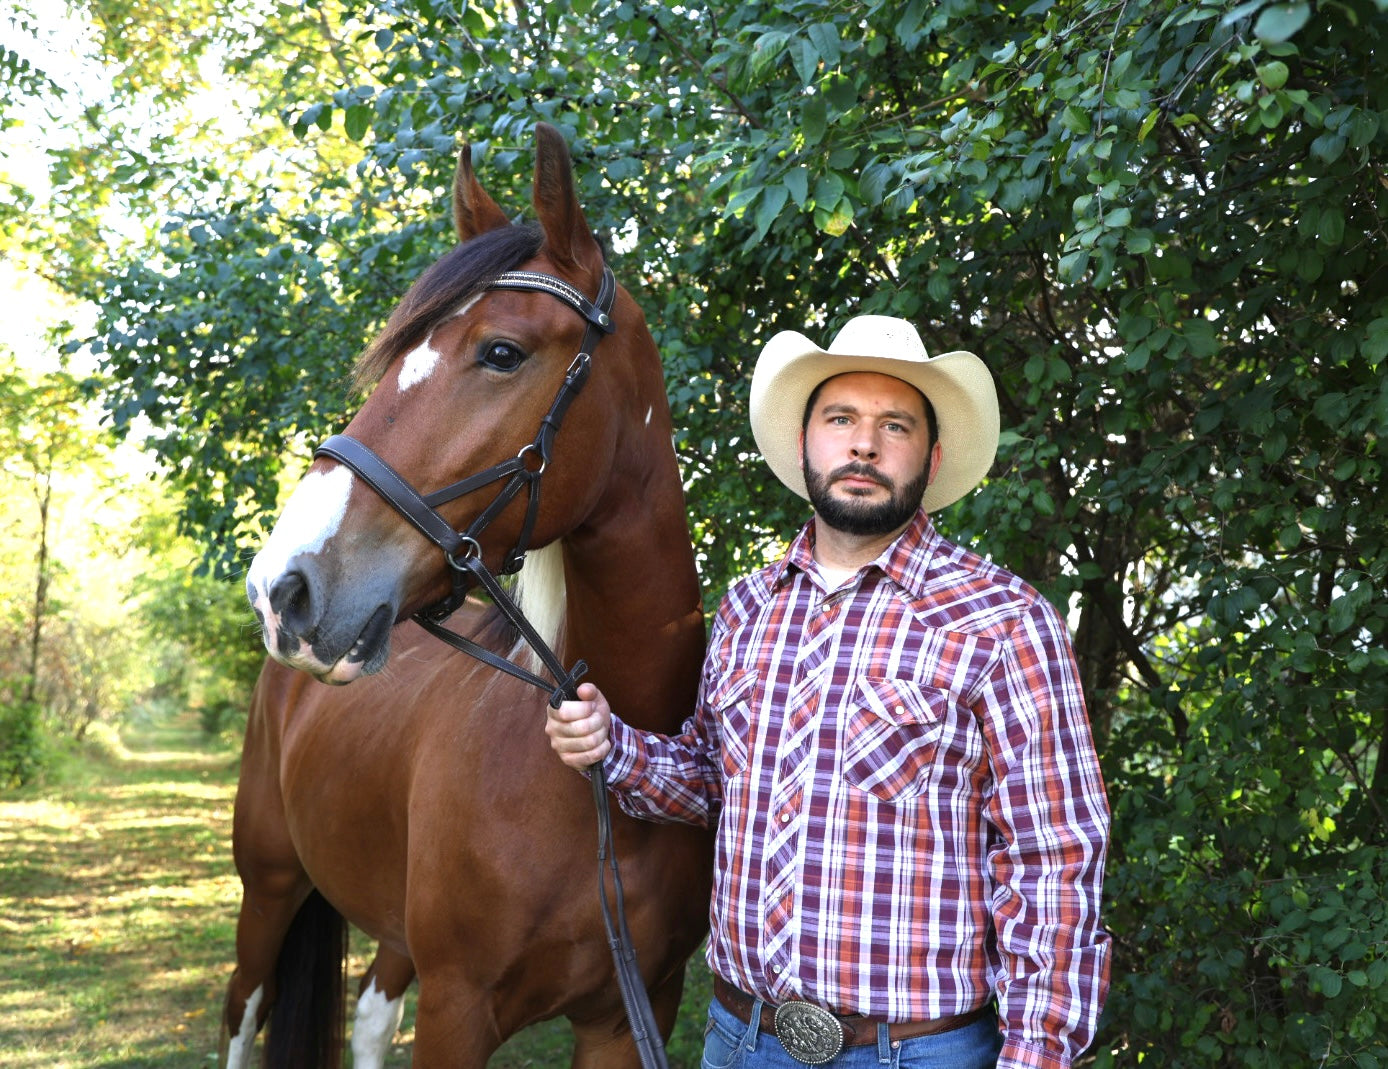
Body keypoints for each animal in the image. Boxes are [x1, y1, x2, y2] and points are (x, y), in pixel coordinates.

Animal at [224, 120, 716, 1060]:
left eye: (501, 352)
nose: (283, 588)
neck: (592, 797)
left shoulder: (631, 1013)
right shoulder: (457, 1007)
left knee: (371, 1013)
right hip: (267, 887)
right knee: (242, 1010)